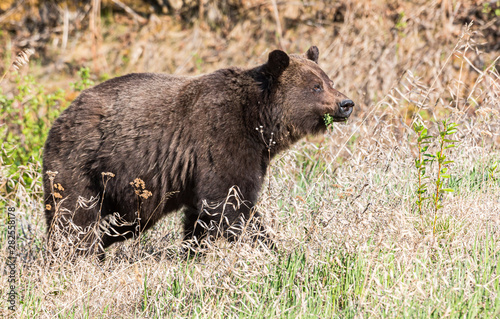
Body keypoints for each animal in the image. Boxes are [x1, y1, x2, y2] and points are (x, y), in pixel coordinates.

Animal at [44, 47, 356, 258]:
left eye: (328, 80)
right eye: (315, 86)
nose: (346, 103)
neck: (258, 121)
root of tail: (62, 114)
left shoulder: (242, 158)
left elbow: (203, 216)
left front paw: (194, 252)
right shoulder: (222, 138)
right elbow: (232, 203)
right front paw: (269, 249)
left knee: (123, 223)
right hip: (84, 164)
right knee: (73, 217)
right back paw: (71, 256)